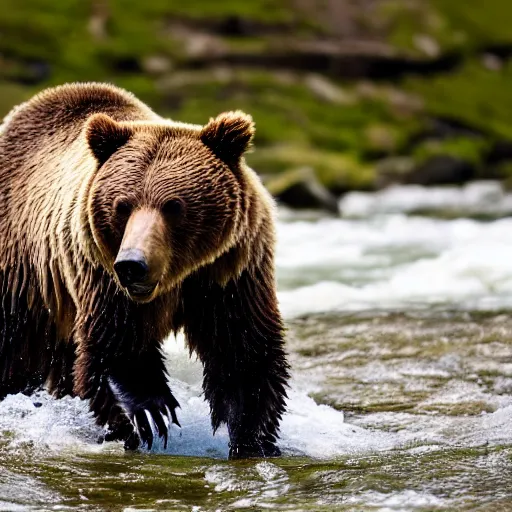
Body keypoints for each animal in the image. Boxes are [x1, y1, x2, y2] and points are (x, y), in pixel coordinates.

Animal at [0, 82, 290, 458]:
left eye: (174, 206)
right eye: (122, 205)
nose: (132, 265)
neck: (177, 278)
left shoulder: (229, 274)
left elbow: (242, 354)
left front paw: (253, 440)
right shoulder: (100, 273)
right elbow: (115, 346)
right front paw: (149, 414)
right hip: (23, 279)